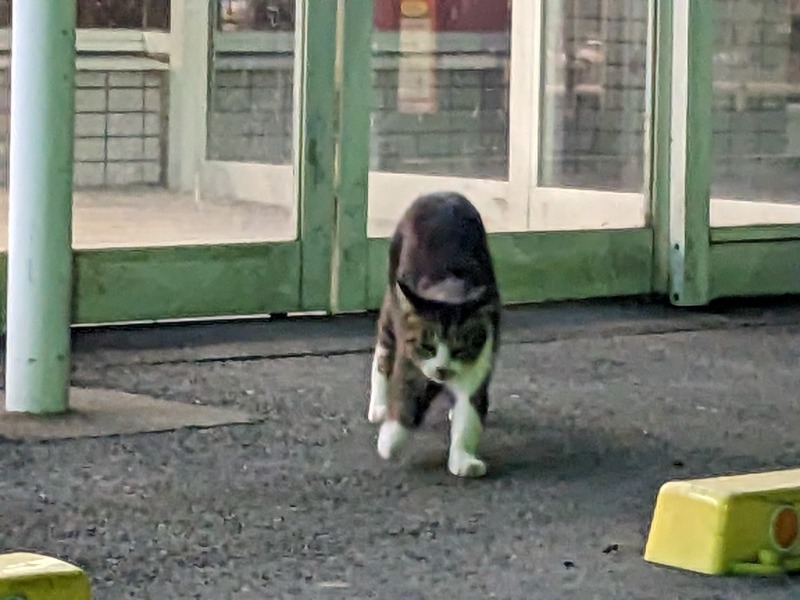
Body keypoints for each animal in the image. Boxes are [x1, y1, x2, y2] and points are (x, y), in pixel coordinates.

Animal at [368, 191, 500, 478]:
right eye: (427, 346)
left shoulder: (482, 355)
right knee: (383, 352)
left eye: (461, 349)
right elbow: (405, 394)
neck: (451, 289)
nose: (442, 369)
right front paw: (390, 440)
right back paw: (378, 407)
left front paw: (463, 460)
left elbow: (469, 413)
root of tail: (440, 193)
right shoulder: (410, 358)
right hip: (394, 299)